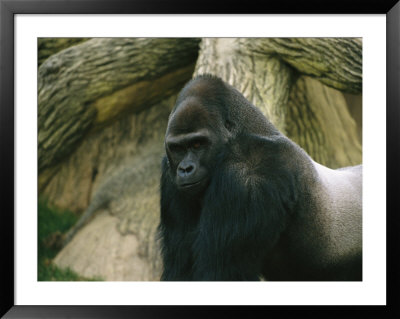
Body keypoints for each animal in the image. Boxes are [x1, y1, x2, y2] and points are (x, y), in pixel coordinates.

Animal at [159, 74, 362, 282]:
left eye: (198, 144)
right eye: (177, 148)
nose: (185, 169)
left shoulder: (246, 175)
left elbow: (220, 272)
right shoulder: (170, 174)